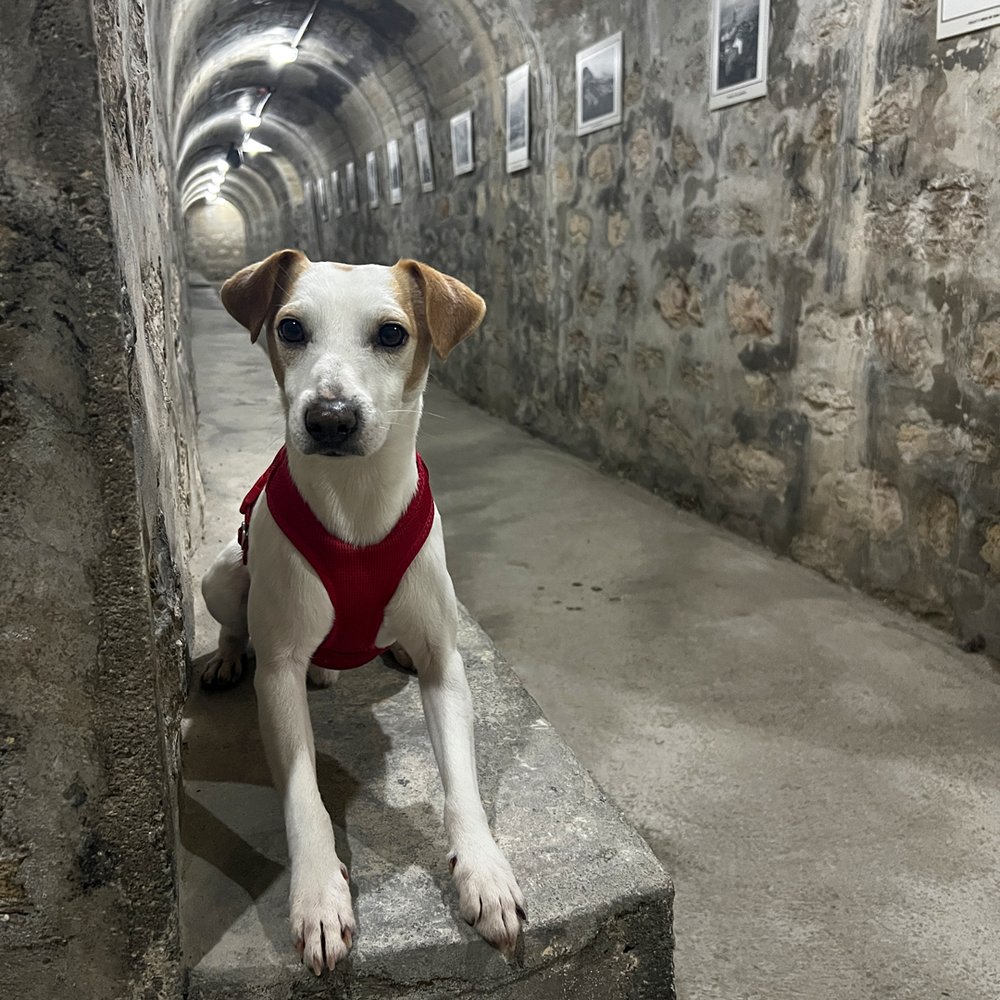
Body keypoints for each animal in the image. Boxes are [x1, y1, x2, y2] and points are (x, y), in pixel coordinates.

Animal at [205, 252, 532, 976]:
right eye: (290, 327)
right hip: (222, 576)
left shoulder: (446, 666)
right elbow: (304, 795)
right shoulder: (278, 675)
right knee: (235, 617)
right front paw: (319, 897)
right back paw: (227, 656)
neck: (354, 505)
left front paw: (486, 871)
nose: (329, 417)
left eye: (391, 334)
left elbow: (461, 779)